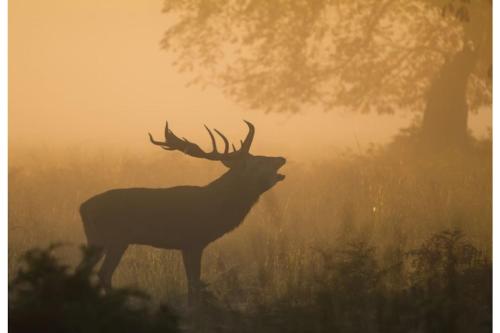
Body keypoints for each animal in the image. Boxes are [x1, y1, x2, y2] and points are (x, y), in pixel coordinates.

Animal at [80, 120, 288, 304]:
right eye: (258, 161)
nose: (281, 158)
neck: (215, 208)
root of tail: (83, 207)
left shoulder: (186, 245)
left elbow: (191, 283)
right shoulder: (193, 240)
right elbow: (194, 282)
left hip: (97, 239)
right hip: (117, 238)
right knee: (104, 273)